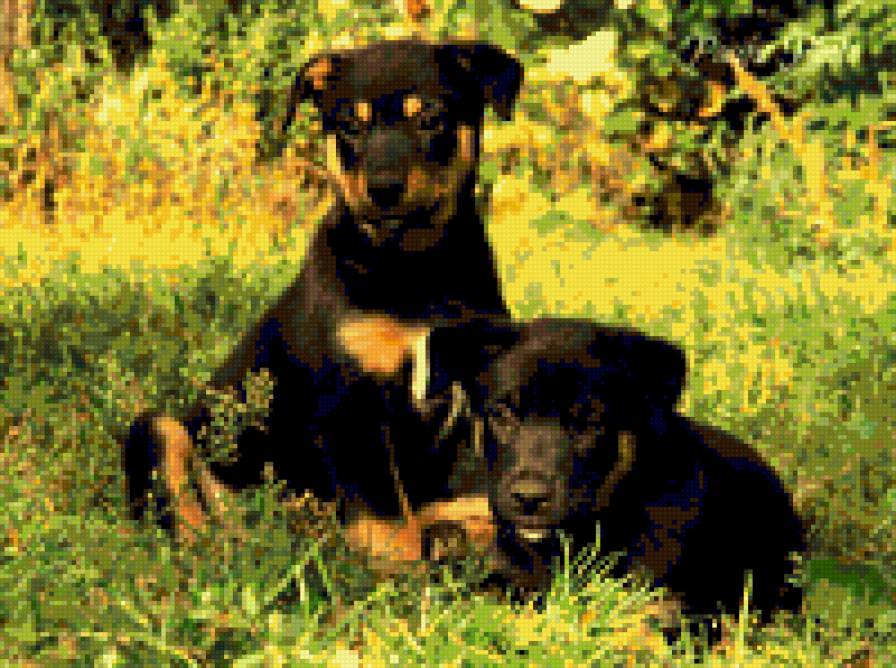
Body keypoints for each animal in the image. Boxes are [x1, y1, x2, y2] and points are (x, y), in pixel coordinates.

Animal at [124, 39, 523, 547]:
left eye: (431, 118)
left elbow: (474, 488)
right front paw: (399, 565)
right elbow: (387, 520)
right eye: (350, 125)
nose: (383, 189)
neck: (413, 268)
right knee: (186, 516)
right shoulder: (353, 400)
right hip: (159, 430)